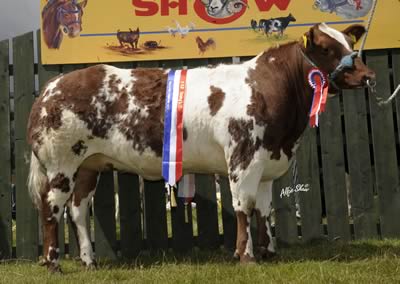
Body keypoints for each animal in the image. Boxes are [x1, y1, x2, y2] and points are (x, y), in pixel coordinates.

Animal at [27, 23, 376, 272]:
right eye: (327, 48)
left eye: (350, 44)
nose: (367, 75)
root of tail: (51, 87)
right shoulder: (243, 158)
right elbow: (244, 207)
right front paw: (245, 256)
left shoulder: (267, 163)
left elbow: (264, 209)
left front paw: (268, 253)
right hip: (61, 162)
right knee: (51, 208)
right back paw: (53, 263)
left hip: (89, 164)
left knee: (77, 209)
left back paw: (89, 261)